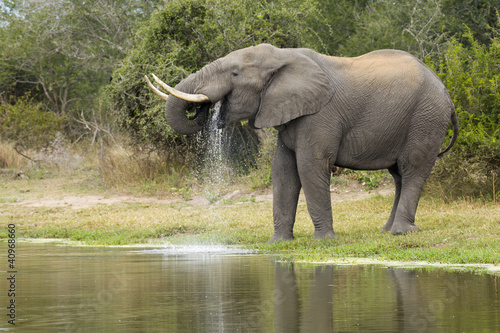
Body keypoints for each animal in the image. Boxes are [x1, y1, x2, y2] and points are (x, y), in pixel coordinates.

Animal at [144, 43, 458, 241]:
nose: (205, 109)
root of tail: (446, 91)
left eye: (234, 74)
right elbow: (282, 170)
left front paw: (324, 240)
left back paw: (401, 232)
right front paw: (279, 243)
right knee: (398, 175)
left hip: (426, 118)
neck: (283, 57)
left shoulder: (320, 115)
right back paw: (386, 231)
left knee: (412, 169)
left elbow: (309, 166)